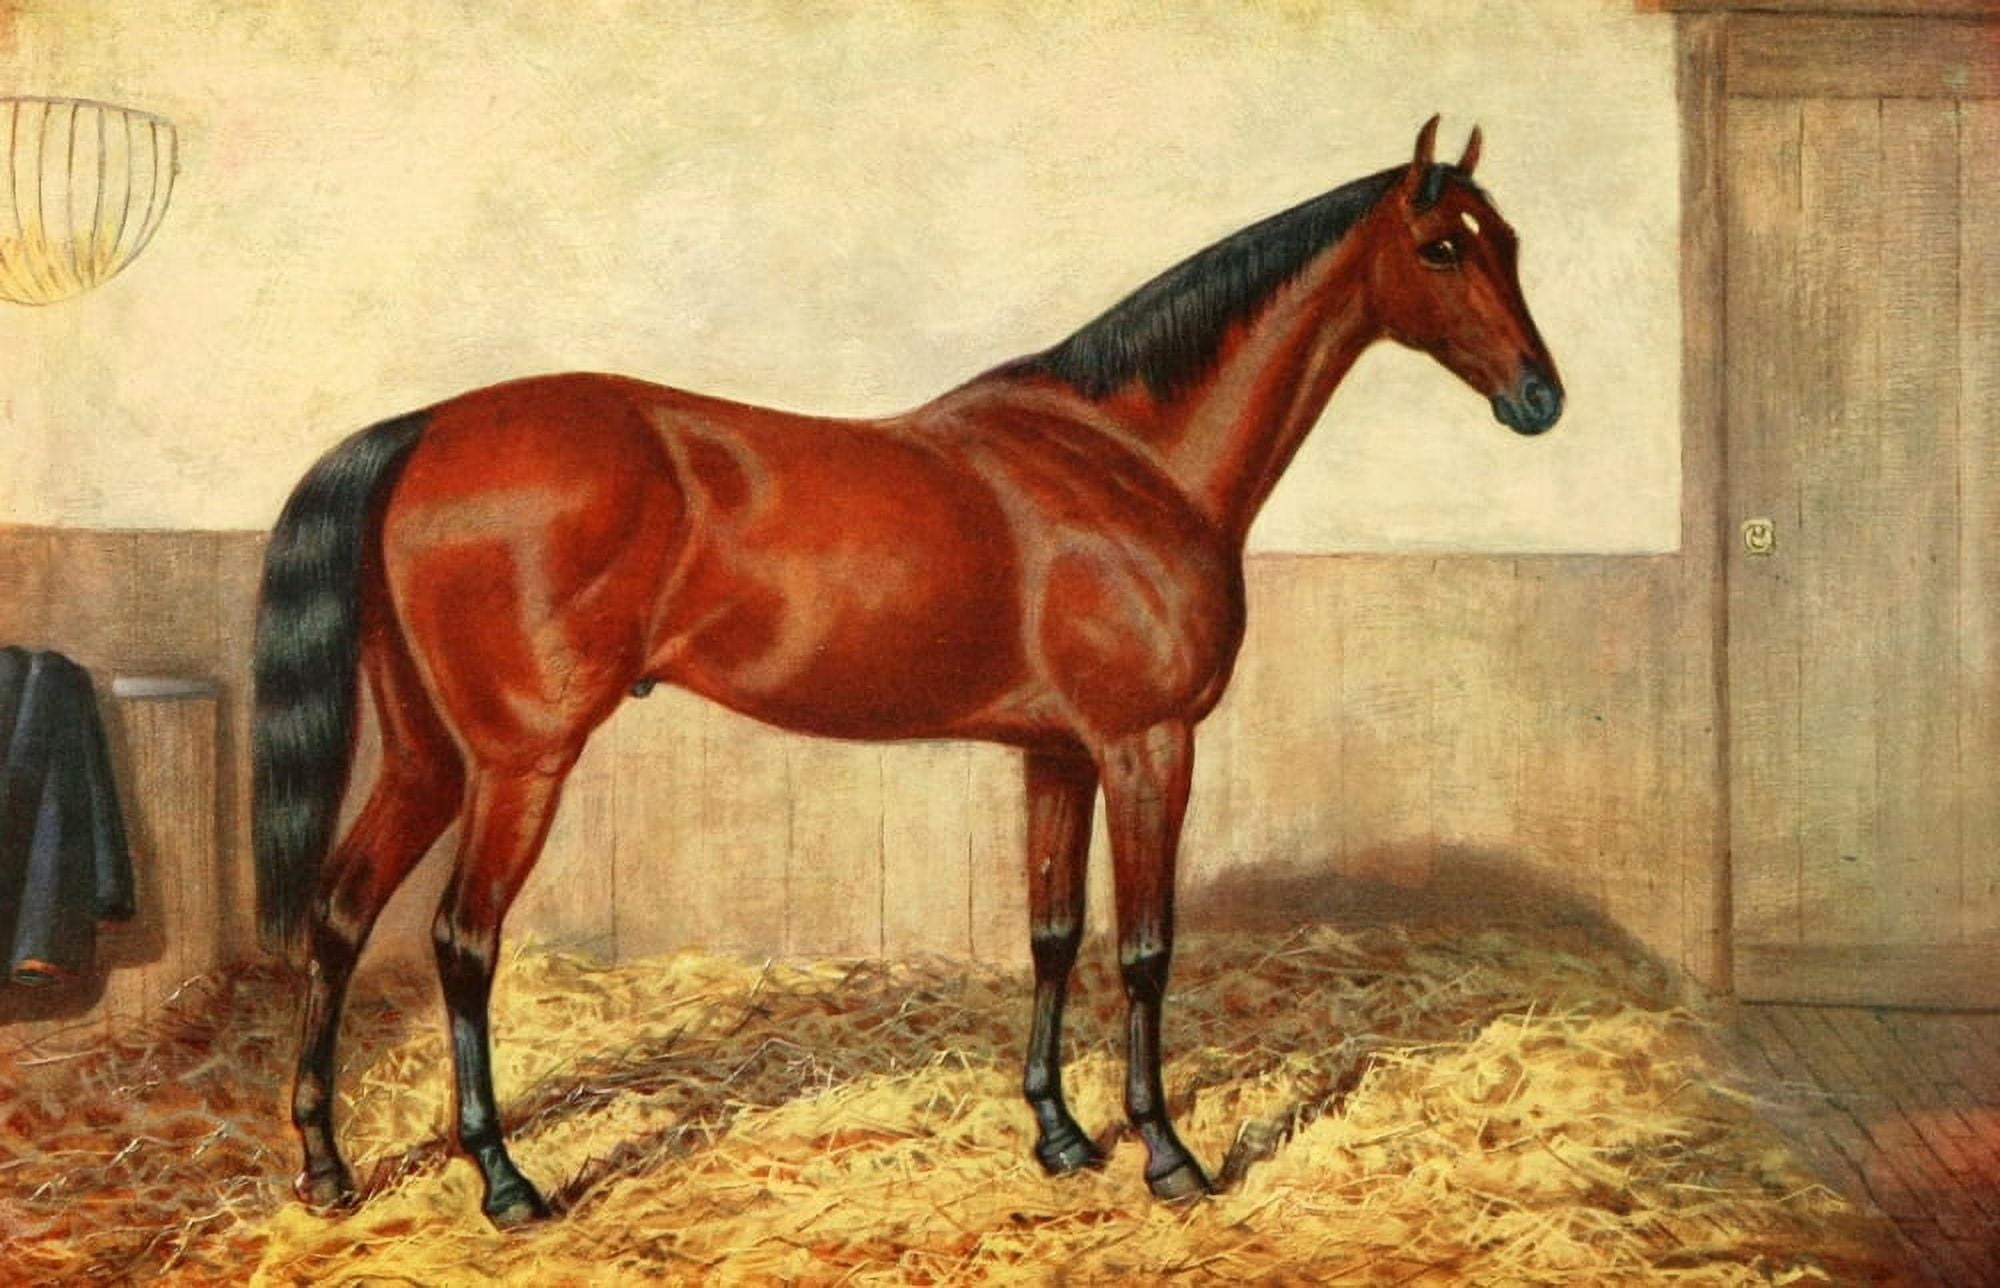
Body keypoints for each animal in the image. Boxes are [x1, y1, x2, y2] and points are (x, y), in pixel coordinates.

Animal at [251, 116, 1562, 1228]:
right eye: (1443, 246)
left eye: (1506, 241)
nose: (1539, 397)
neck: (1130, 457)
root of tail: (421, 431)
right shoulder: (1146, 744)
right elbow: (1144, 948)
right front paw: (1168, 1156)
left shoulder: (1055, 753)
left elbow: (1051, 930)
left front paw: (1058, 1136)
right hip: (517, 763)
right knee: (460, 943)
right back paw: (506, 1181)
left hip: (426, 753)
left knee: (340, 911)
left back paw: (326, 1169)